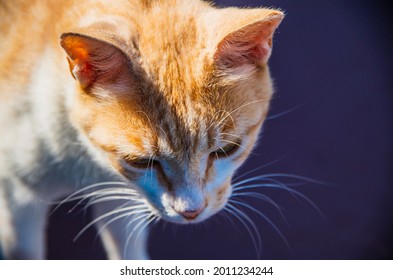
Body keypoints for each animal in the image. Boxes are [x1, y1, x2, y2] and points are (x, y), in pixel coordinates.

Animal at [0, 0, 282, 260]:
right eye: (140, 161)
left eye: (227, 149)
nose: (190, 211)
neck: (88, 158)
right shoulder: (17, 199)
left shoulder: (121, 196)